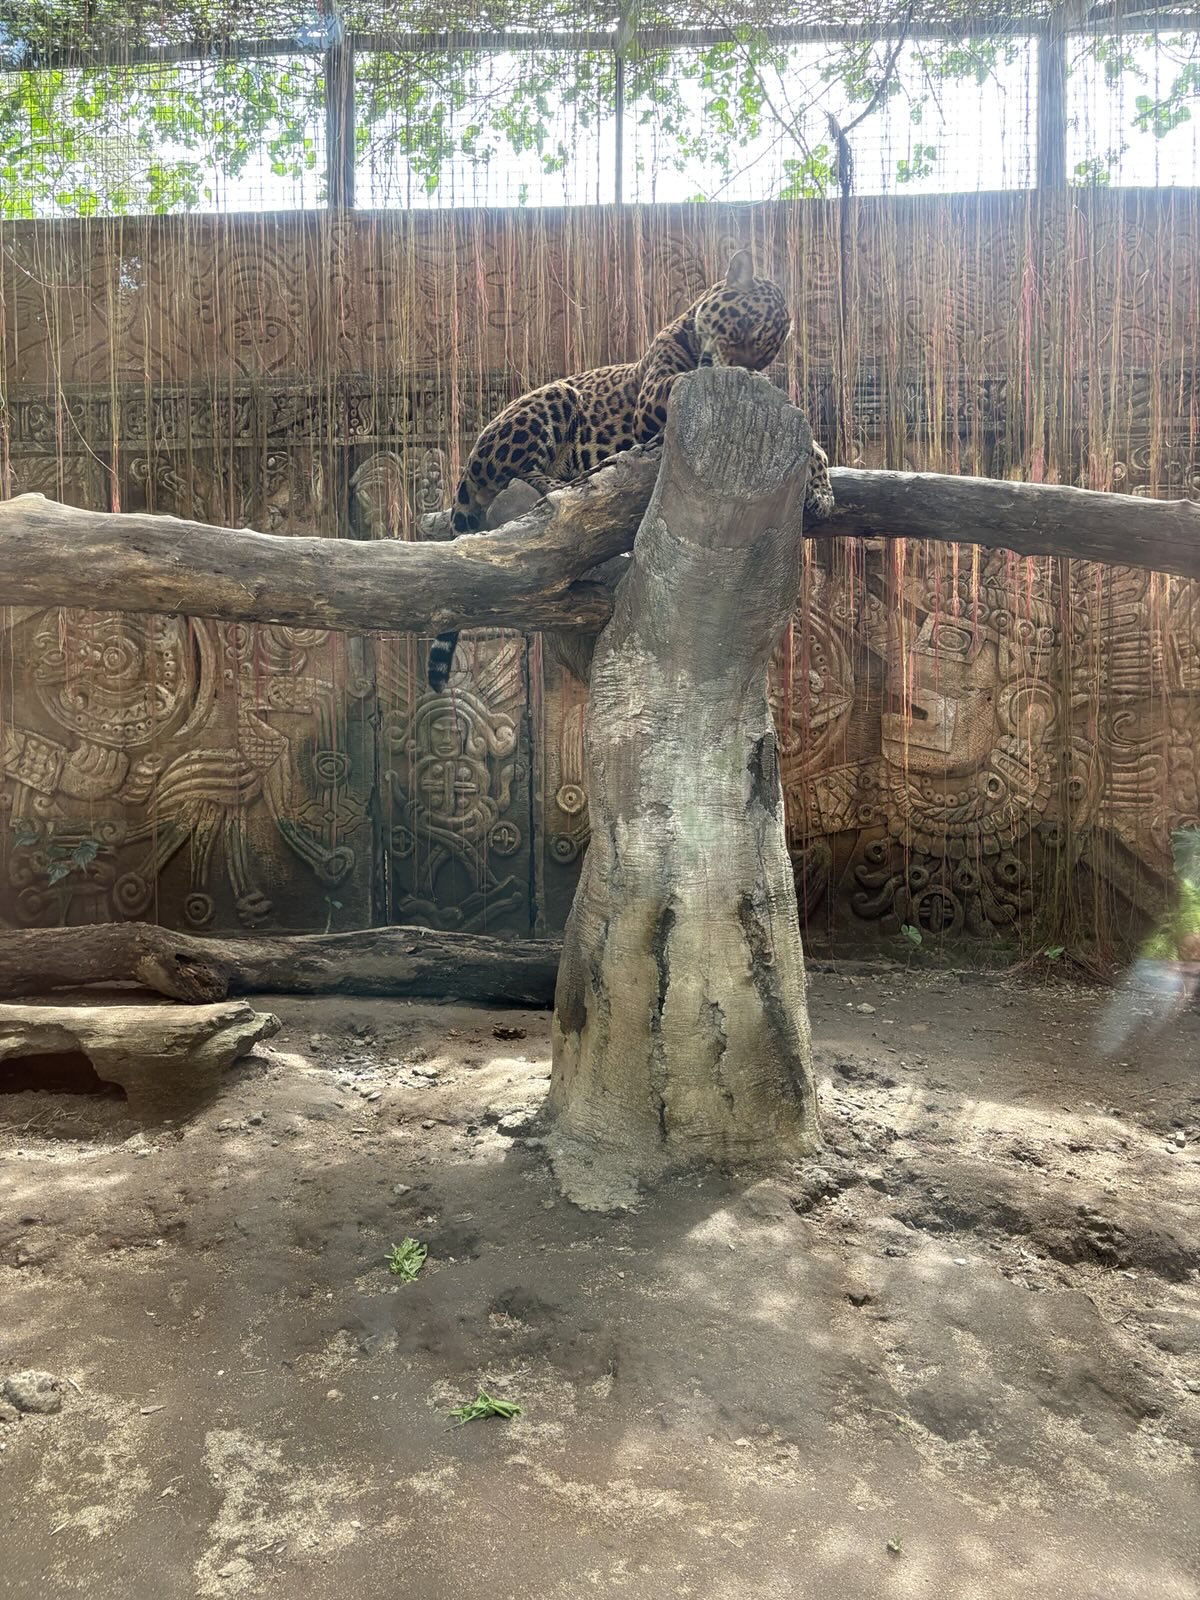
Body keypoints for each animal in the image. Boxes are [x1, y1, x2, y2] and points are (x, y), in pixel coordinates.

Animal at [427, 249, 835, 691]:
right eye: (744, 329)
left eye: (765, 354)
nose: (744, 371)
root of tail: (470, 460)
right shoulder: (655, 395)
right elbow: (694, 376)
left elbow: (813, 443)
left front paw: (822, 490)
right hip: (554, 398)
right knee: (519, 474)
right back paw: (564, 482)